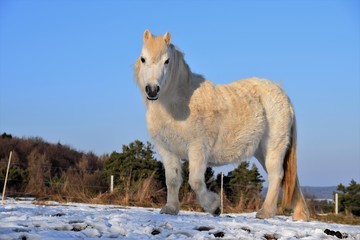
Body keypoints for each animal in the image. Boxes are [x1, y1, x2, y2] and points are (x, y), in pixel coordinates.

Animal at [134, 29, 308, 220]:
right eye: (143, 59)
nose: (152, 90)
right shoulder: (167, 150)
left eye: (167, 61)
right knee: (288, 179)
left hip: (274, 147)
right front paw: (171, 208)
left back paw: (266, 212)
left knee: (277, 176)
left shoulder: (198, 148)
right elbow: (172, 180)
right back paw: (300, 215)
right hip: (262, 151)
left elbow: (195, 181)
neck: (178, 105)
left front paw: (214, 206)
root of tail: (283, 95)